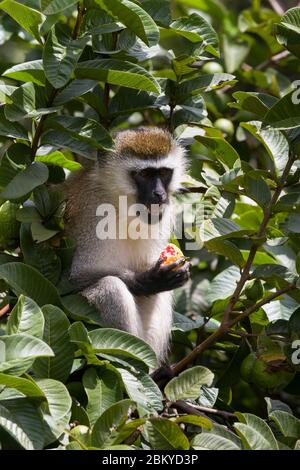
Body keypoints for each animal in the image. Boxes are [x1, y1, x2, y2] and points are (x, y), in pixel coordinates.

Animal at [63, 127, 190, 364]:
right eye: (144, 175)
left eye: (164, 173)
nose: (160, 194)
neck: (121, 205)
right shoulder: (92, 211)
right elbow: (76, 277)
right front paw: (149, 279)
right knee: (111, 288)